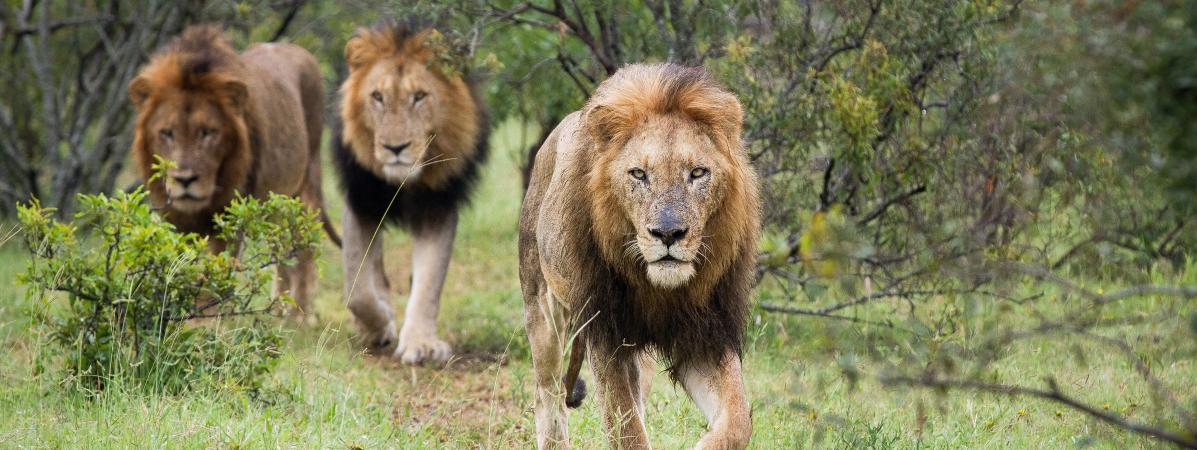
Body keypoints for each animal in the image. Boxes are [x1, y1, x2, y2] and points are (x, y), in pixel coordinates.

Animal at [128, 25, 335, 320]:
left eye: (208, 132)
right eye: (167, 132)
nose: (185, 180)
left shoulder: (228, 217)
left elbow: (214, 278)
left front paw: (209, 322)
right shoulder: (175, 219)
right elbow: (181, 268)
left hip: (308, 182)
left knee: (304, 249)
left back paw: (299, 317)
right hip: (276, 203)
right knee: (281, 250)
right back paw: (278, 311)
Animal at [330, 21, 488, 366]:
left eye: (419, 97)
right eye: (377, 97)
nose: (395, 148)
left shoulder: (438, 207)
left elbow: (429, 281)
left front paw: (421, 344)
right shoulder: (361, 201)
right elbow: (357, 288)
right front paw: (379, 325)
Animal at [519, 64, 761, 449]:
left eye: (697, 173)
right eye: (639, 174)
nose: (668, 233)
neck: (659, 287)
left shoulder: (707, 332)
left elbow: (738, 420)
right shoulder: (606, 334)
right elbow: (626, 429)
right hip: (541, 307)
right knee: (548, 395)